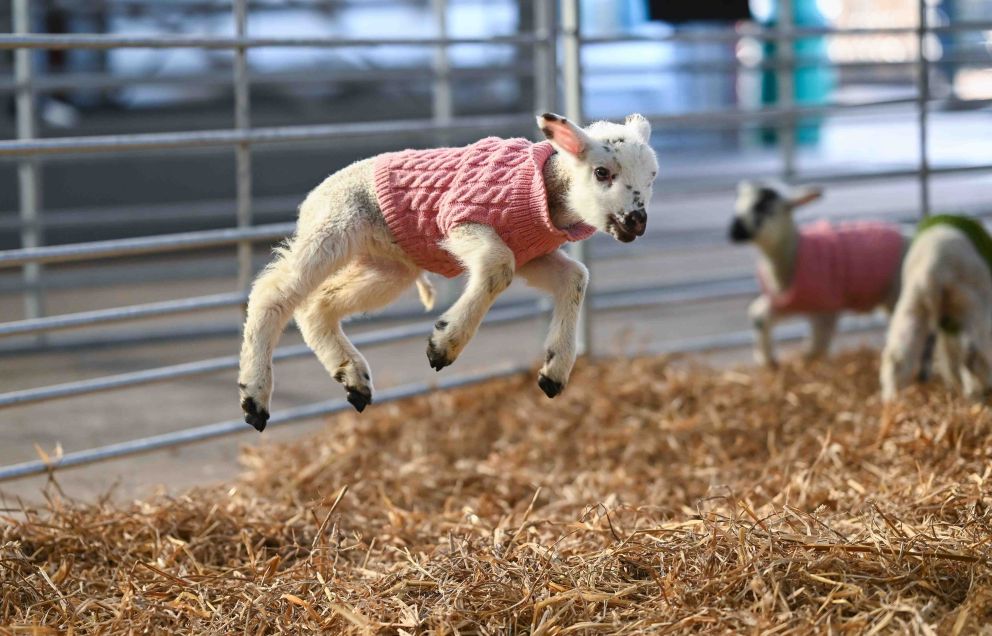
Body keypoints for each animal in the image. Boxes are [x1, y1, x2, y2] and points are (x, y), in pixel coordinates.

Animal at [234, 114, 660, 432]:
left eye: (652, 176)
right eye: (602, 172)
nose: (636, 222)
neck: (548, 194)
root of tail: (312, 198)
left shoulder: (533, 254)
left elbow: (575, 278)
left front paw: (554, 372)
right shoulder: (460, 219)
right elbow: (497, 266)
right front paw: (444, 344)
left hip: (388, 267)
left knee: (318, 305)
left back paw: (352, 378)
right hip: (335, 227)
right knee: (273, 292)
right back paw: (255, 397)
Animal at [728, 180, 908, 368]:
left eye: (763, 205)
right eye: (737, 199)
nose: (733, 230)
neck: (794, 253)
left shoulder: (826, 308)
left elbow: (815, 350)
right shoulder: (787, 300)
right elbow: (759, 316)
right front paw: (768, 360)